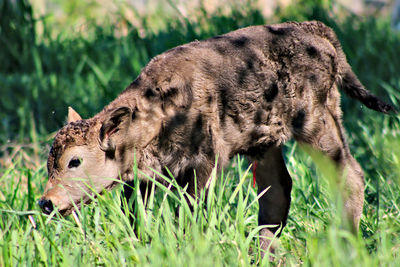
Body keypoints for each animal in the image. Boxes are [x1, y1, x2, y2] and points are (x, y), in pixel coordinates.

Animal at [39, 20, 396, 255]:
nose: (46, 202)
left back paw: (346, 240)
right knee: (276, 191)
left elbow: (191, 212)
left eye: (75, 161)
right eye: (49, 163)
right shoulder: (142, 180)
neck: (155, 111)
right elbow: (136, 215)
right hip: (266, 144)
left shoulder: (202, 165)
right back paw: (265, 251)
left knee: (349, 173)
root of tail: (315, 30)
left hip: (317, 124)